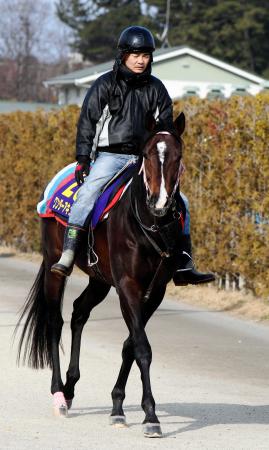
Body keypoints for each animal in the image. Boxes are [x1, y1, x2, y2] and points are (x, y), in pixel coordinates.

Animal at [15, 110, 185, 438]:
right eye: (147, 154)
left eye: (178, 156)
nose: (159, 203)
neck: (148, 225)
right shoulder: (128, 286)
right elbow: (142, 347)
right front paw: (150, 416)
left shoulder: (154, 291)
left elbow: (130, 345)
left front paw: (118, 405)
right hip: (55, 266)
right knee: (55, 321)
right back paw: (59, 394)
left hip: (99, 279)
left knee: (79, 312)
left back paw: (70, 387)